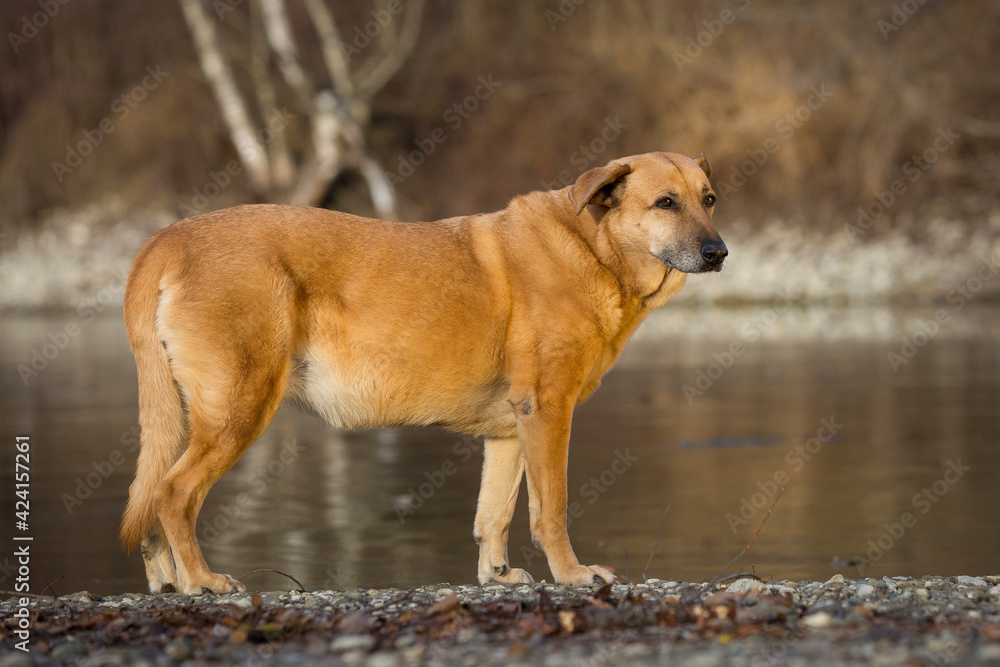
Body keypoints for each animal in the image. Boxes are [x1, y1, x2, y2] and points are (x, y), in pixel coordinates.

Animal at [121, 153, 728, 596]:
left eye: (709, 200)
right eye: (665, 202)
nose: (719, 252)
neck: (593, 248)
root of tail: (167, 238)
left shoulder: (511, 430)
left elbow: (494, 512)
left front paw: (496, 575)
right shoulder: (549, 410)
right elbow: (548, 509)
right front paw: (573, 575)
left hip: (180, 413)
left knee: (150, 496)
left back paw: (166, 581)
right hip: (238, 407)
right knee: (174, 493)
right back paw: (201, 581)